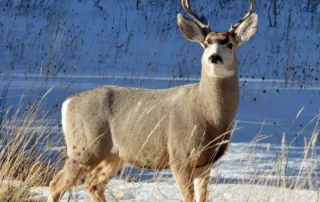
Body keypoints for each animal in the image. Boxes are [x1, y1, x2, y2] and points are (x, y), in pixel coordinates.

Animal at [47, 0, 258, 201]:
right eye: (206, 43)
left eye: (229, 44)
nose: (214, 57)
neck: (209, 117)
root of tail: (68, 103)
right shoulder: (179, 156)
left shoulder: (205, 163)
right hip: (84, 148)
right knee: (56, 184)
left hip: (114, 154)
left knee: (93, 183)